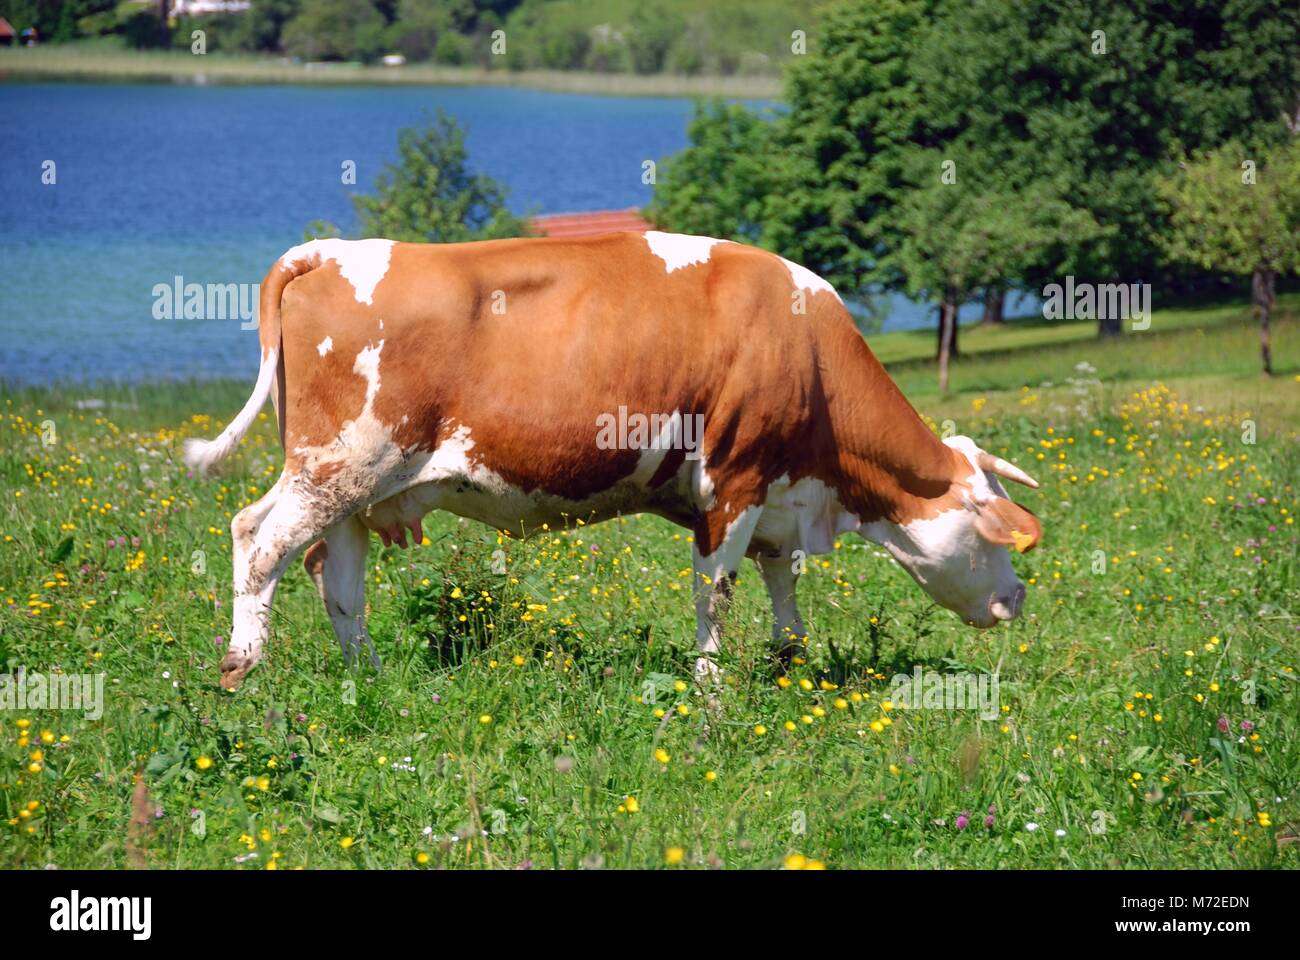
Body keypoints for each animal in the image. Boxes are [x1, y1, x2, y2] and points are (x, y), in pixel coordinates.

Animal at [183, 234, 1040, 692]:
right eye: (991, 531)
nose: (1018, 597)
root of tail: (333, 249)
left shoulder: (778, 496)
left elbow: (782, 586)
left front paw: (789, 665)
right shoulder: (733, 481)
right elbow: (716, 594)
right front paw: (711, 691)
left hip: (358, 486)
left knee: (337, 572)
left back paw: (372, 675)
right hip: (337, 464)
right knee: (258, 539)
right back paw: (242, 665)